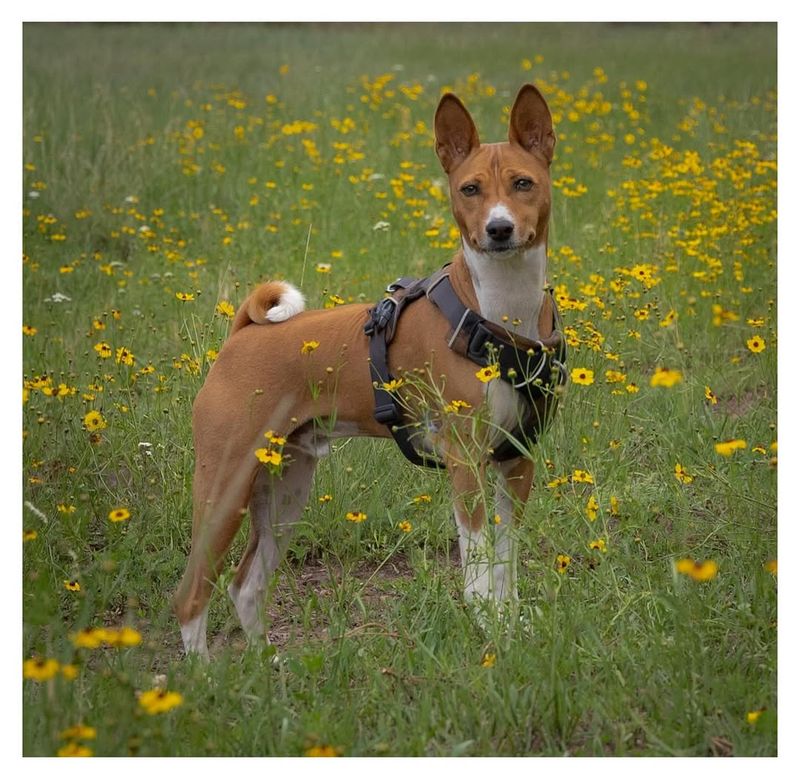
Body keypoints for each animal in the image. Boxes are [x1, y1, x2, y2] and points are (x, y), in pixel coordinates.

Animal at [175, 85, 564, 660]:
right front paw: (487, 631)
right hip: (225, 486)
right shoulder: (465, 459)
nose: (498, 229)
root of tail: (243, 332)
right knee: (191, 594)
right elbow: (477, 569)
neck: (501, 314)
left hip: (286, 487)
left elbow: (506, 564)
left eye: (523, 183)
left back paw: (268, 669)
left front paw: (510, 626)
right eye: (470, 188)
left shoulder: (516, 459)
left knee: (245, 585)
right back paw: (206, 676)